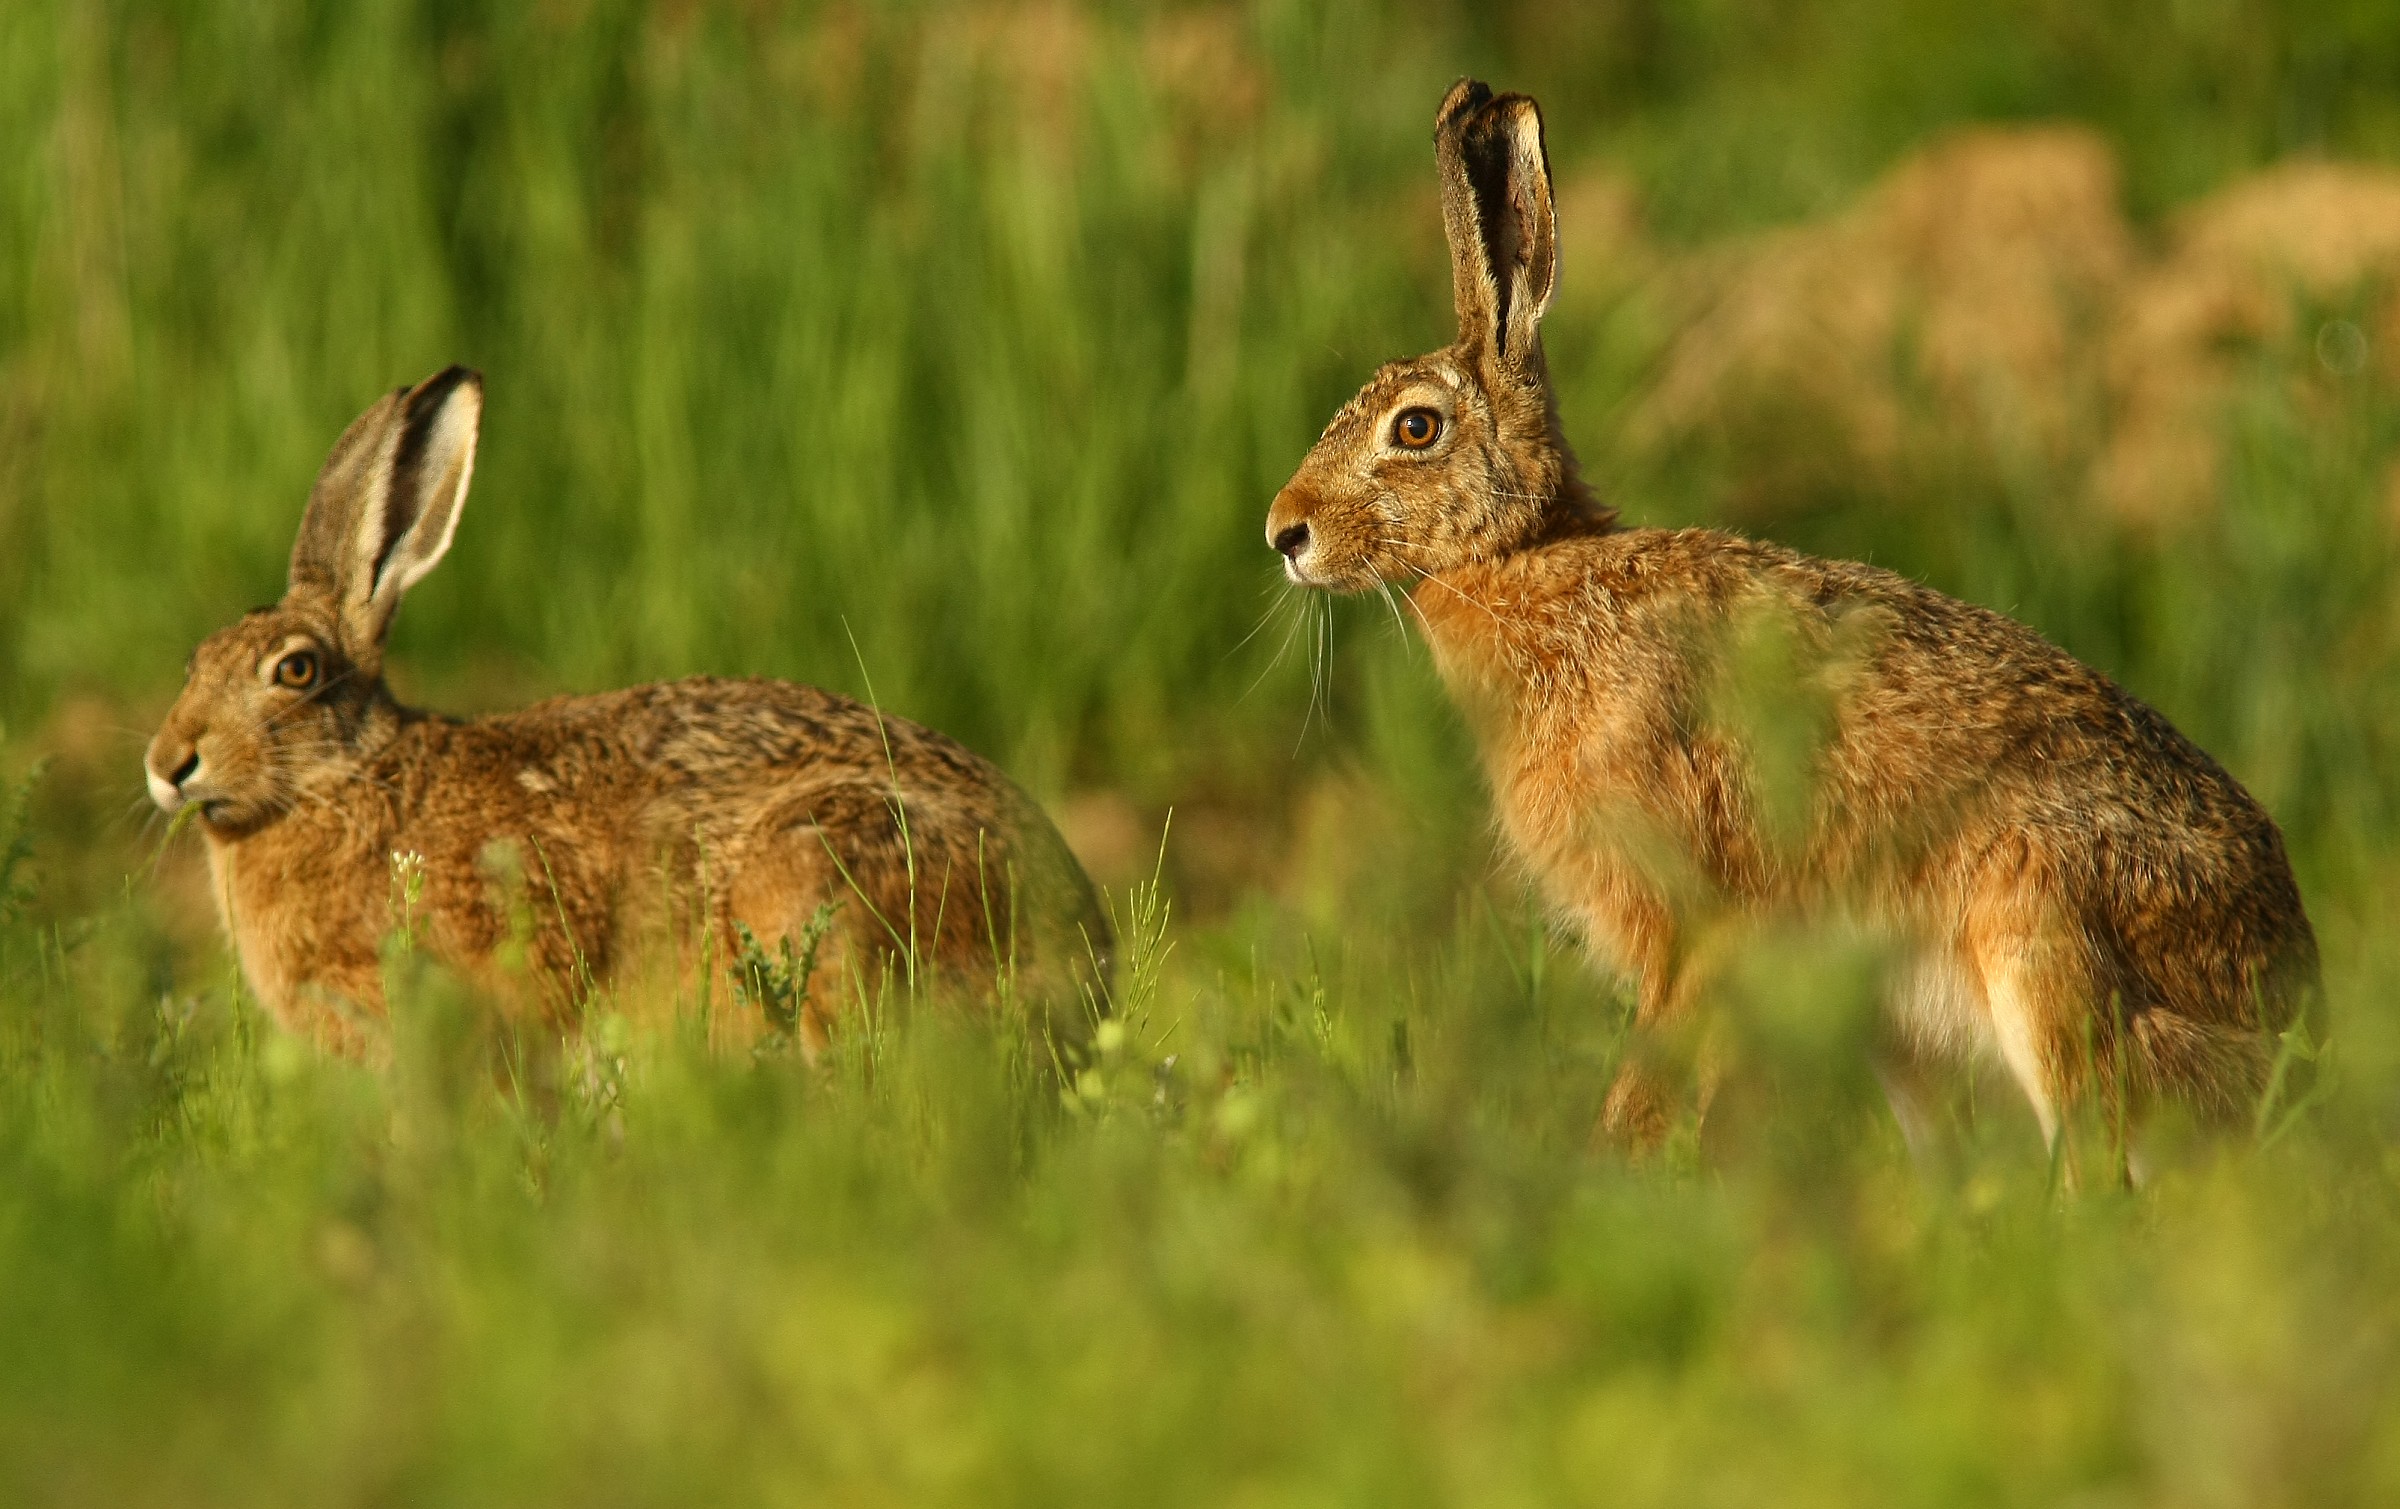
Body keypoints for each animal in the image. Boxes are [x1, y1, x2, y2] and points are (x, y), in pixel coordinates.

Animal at [1264, 79, 2317, 1163]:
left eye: (1416, 428)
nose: (1283, 531)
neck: (1526, 562)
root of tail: (2290, 1005)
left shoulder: (1695, 918)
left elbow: (1656, 1083)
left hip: (2044, 935)